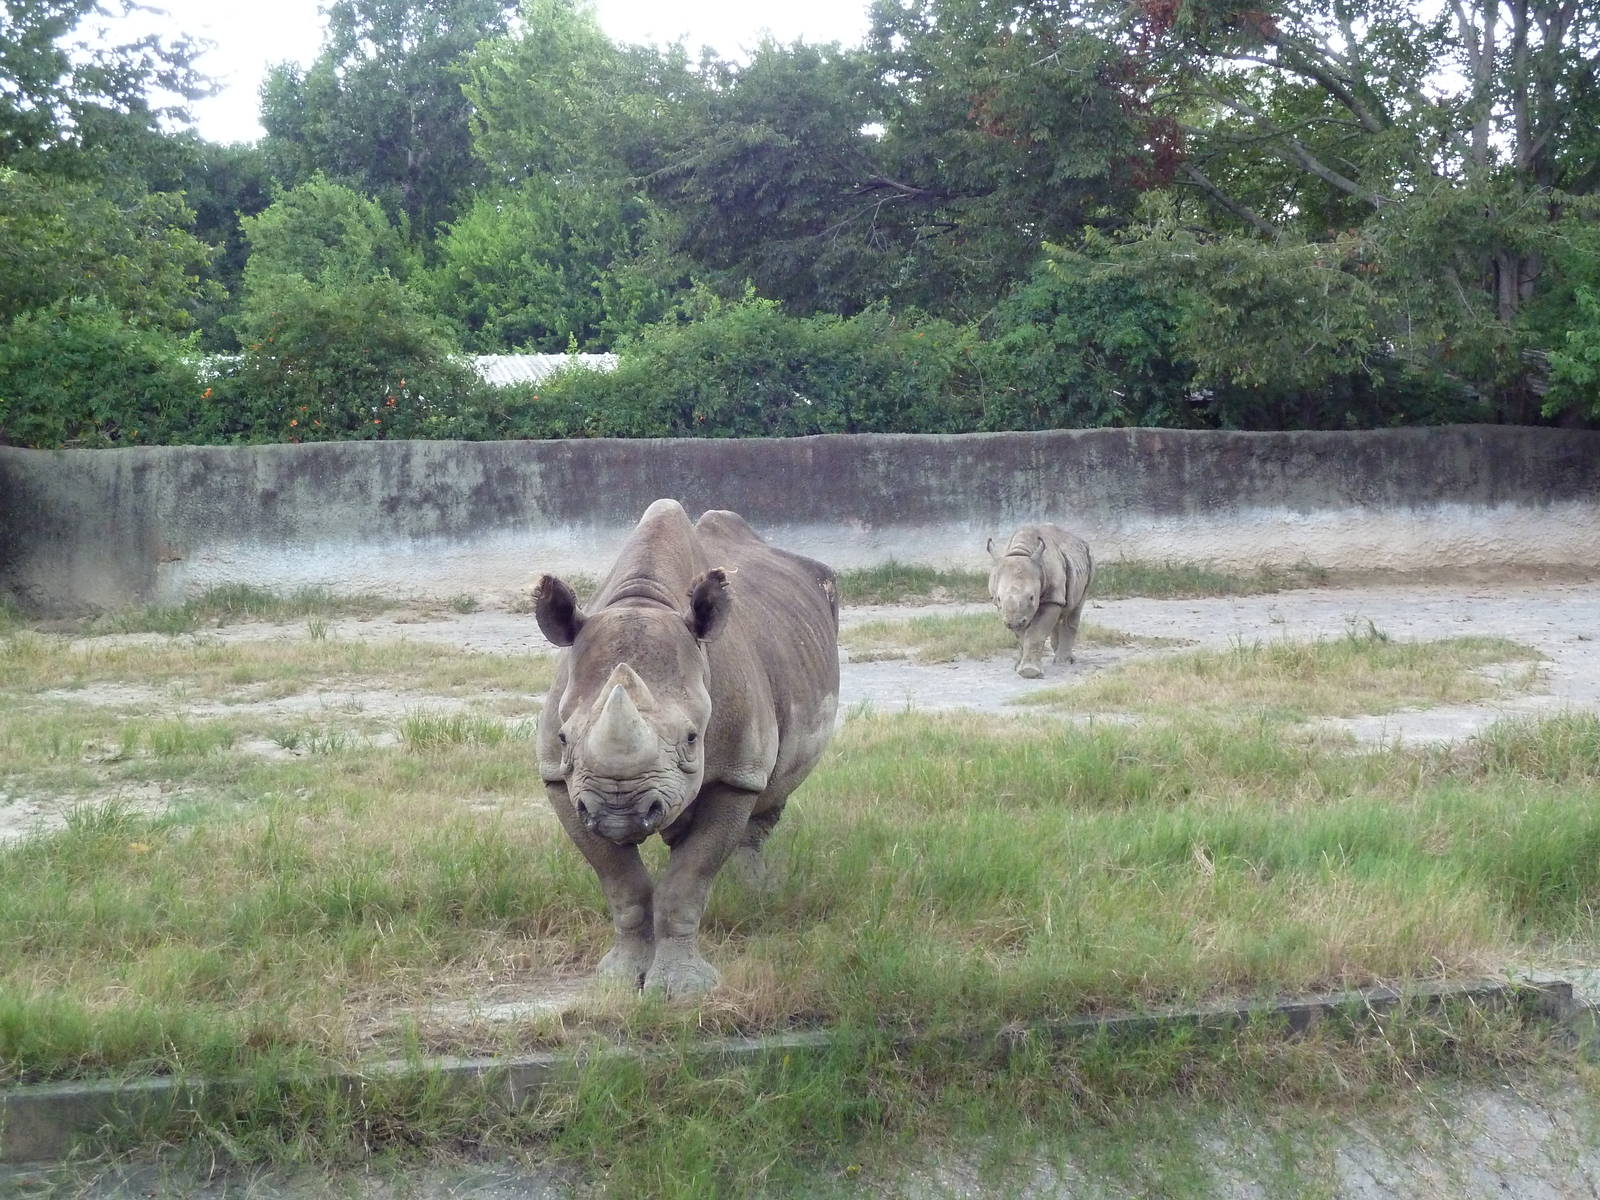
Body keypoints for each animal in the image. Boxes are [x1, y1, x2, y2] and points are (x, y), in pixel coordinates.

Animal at [533, 499, 839, 997]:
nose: (619, 811)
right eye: (563, 738)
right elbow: (622, 884)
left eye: (693, 738)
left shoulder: (736, 774)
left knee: (773, 790)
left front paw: (682, 991)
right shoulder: (559, 780)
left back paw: (753, 892)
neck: (644, 601)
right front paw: (620, 979)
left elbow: (689, 880)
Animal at [986, 523, 1095, 679]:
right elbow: (1022, 635)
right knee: (1061, 610)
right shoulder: (1012, 611)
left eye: (1032, 597)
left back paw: (1064, 662)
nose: (1013, 623)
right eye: (998, 598)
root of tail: (1078, 539)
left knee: (1075, 608)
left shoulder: (1051, 598)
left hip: (1089, 559)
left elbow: (1036, 632)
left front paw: (1030, 672)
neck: (1022, 551)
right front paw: (1019, 667)